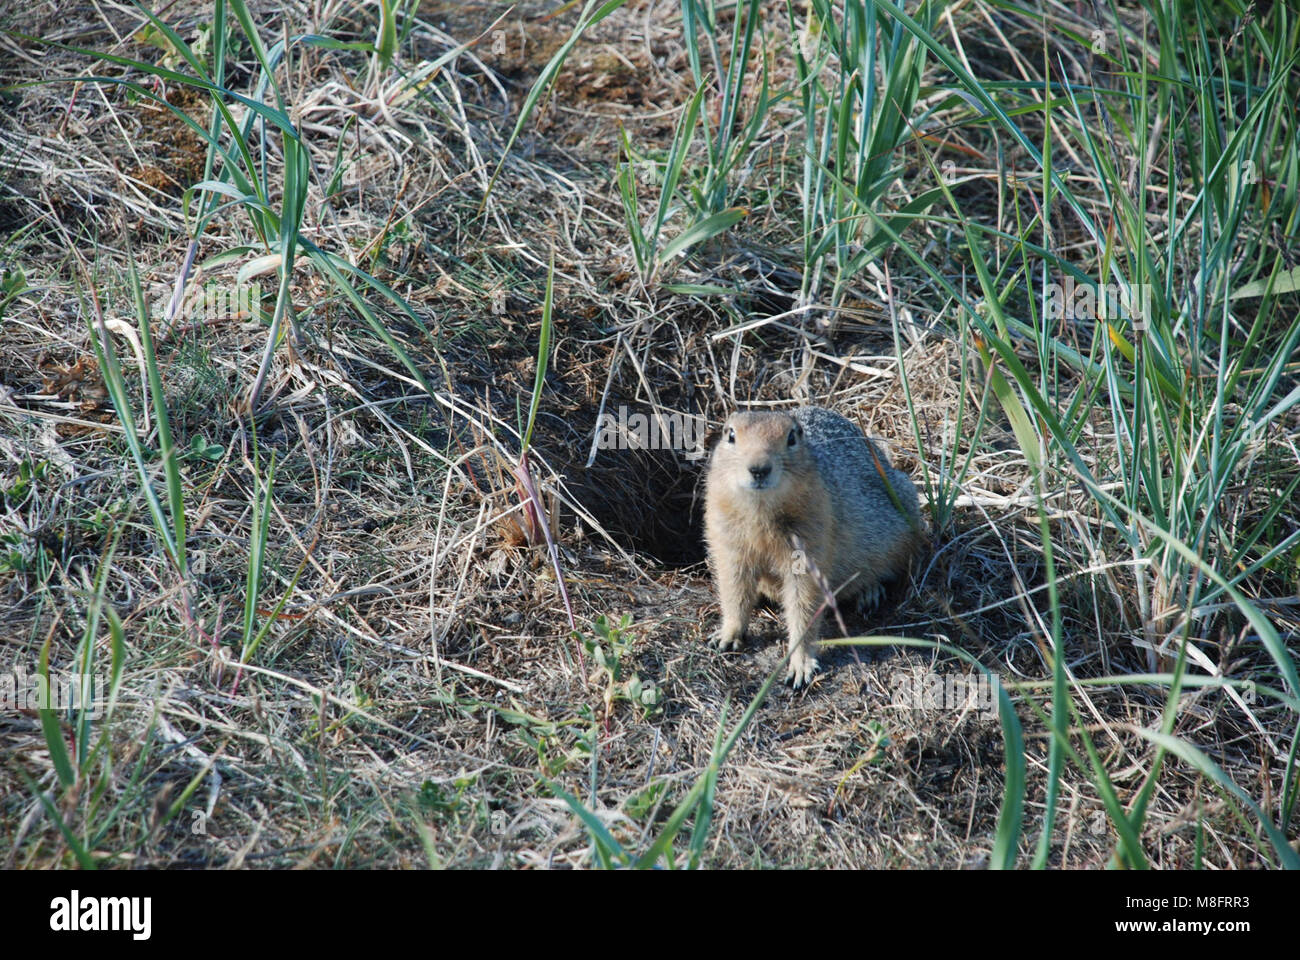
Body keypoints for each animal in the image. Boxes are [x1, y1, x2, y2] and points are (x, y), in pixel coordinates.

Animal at [702, 408, 925, 686]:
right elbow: (733, 591)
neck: (760, 509)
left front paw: (800, 666)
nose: (759, 469)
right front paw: (726, 636)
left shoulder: (811, 542)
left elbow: (804, 604)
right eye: (730, 435)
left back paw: (870, 591)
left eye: (792, 437)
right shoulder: (728, 541)